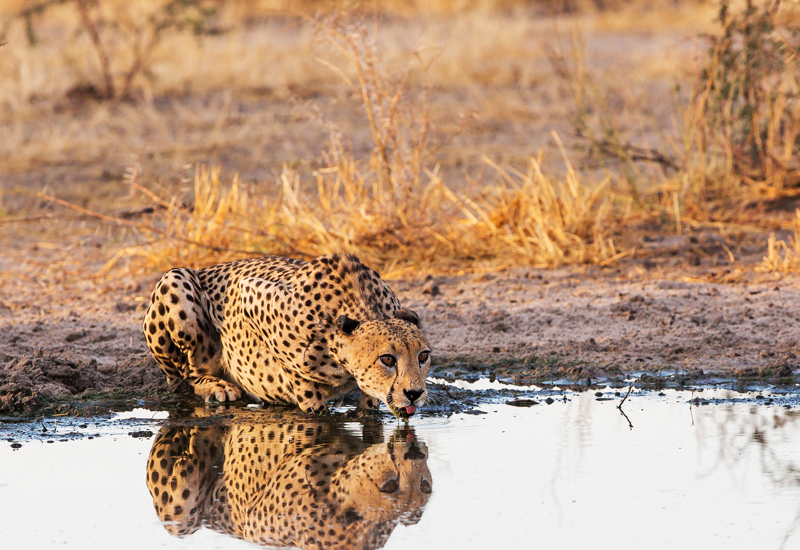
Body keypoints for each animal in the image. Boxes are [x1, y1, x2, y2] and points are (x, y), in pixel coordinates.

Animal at [144, 254, 432, 418]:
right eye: (387, 359)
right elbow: (297, 376)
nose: (414, 393)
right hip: (176, 279)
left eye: (423, 356)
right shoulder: (248, 293)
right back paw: (216, 386)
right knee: (186, 372)